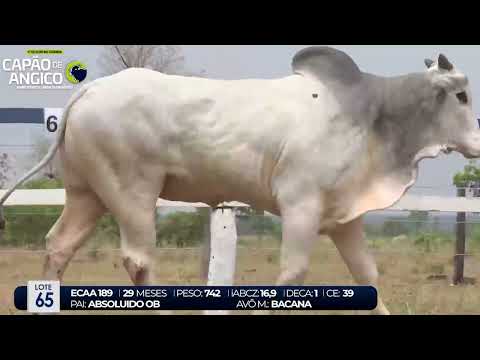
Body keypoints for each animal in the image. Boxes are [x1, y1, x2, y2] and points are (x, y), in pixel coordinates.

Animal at [0, 46, 480, 314]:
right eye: (461, 95)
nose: (477, 142)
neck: (373, 116)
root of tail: (92, 89)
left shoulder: (345, 218)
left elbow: (368, 276)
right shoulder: (300, 206)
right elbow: (293, 275)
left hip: (88, 194)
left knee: (59, 246)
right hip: (132, 192)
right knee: (138, 261)